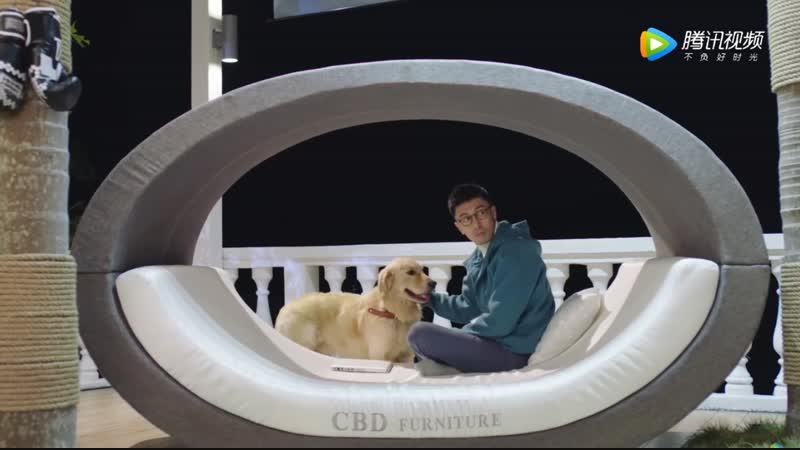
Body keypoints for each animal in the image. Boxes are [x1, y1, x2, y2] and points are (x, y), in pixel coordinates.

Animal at [274, 257, 436, 363]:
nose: (433, 283)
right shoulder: (379, 356)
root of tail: (285, 308)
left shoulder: (406, 357)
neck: (393, 313)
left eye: (422, 270)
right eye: (411, 272)